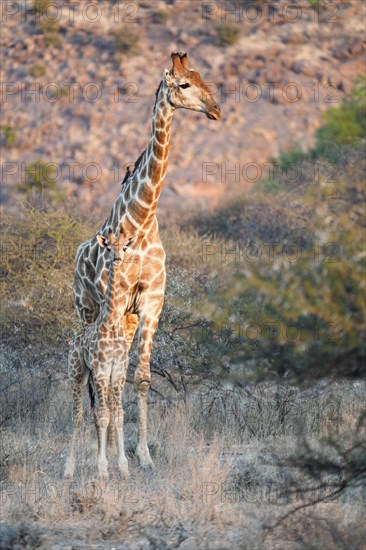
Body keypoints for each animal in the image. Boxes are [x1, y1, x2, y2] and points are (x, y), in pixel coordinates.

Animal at [64, 226, 137, 480]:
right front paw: (103, 468)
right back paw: (69, 469)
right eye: (109, 248)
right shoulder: (102, 370)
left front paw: (123, 467)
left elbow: (119, 415)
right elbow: (105, 416)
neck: (112, 321)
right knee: (77, 416)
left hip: (90, 376)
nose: (118, 258)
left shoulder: (119, 371)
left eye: (125, 246)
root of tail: (75, 337)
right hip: (78, 373)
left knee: (93, 412)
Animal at [72, 52, 220, 470]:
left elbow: (141, 377)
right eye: (183, 85)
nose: (216, 109)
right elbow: (111, 380)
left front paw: (143, 455)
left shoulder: (152, 302)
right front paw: (113, 455)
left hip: (127, 317)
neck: (141, 219)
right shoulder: (117, 301)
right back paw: (96, 449)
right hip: (86, 310)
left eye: (204, 79)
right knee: (90, 379)